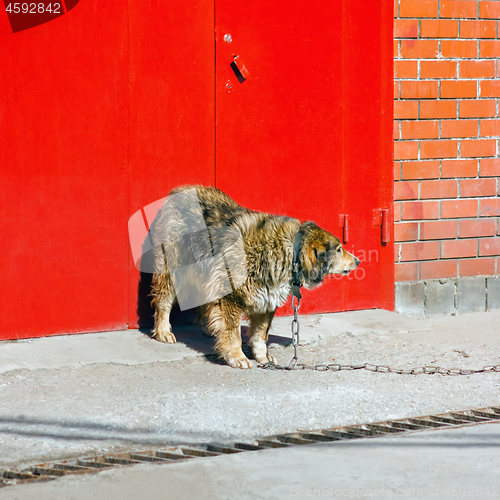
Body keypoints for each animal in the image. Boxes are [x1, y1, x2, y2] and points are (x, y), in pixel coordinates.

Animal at [149, 186, 360, 370]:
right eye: (338, 249)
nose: (357, 261)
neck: (289, 252)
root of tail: (178, 191)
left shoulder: (267, 299)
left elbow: (260, 334)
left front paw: (262, 357)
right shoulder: (230, 296)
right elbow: (233, 333)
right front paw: (236, 356)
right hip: (172, 268)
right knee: (163, 302)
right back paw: (163, 331)